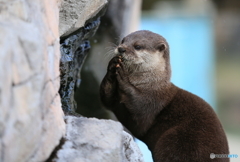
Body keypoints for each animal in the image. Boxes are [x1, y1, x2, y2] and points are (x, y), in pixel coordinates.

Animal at [99, 30, 229, 161]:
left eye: (138, 46)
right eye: (123, 41)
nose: (121, 49)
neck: (150, 86)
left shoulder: (152, 103)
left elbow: (139, 122)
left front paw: (123, 77)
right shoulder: (116, 103)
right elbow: (107, 100)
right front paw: (112, 66)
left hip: (175, 141)